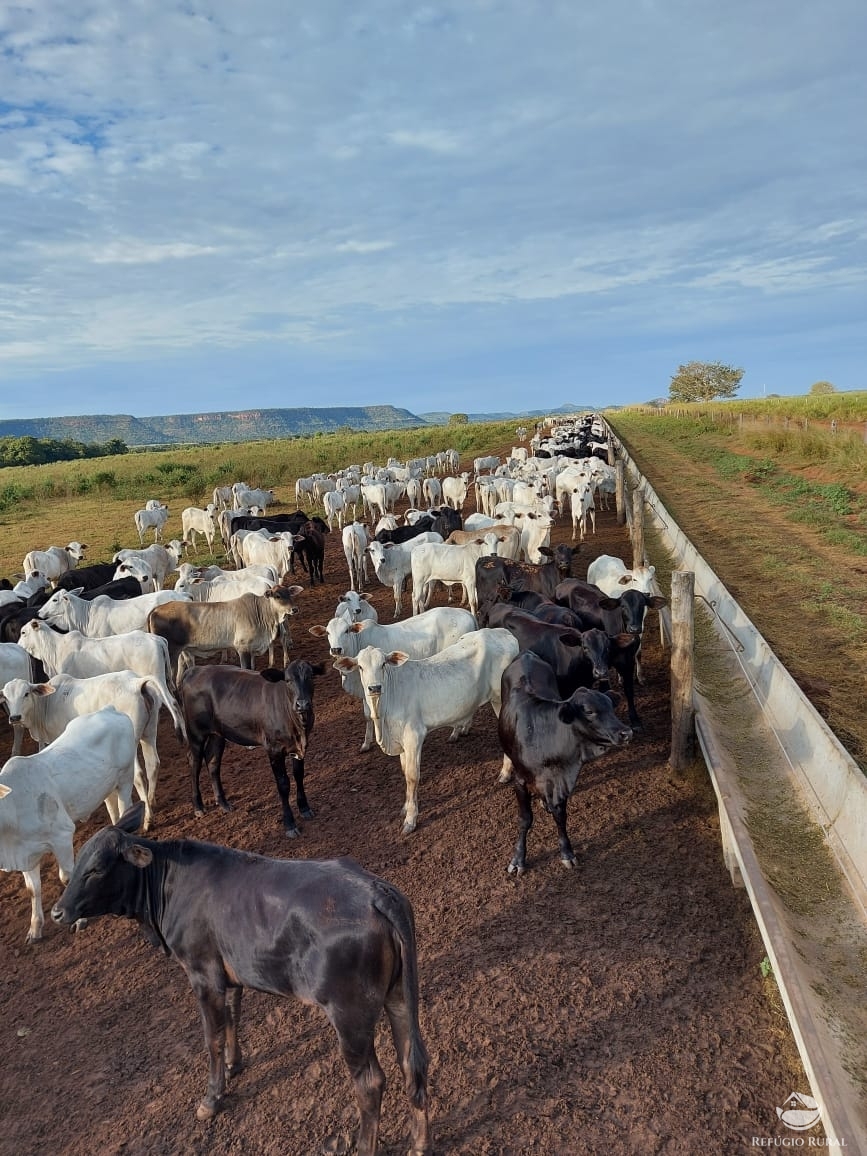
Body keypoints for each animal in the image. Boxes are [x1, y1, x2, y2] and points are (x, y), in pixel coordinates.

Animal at [0, 707, 137, 943]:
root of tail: (109, 709)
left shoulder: (62, 835)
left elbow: (68, 877)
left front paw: (79, 921)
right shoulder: (26, 854)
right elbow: (32, 889)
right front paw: (35, 929)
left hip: (125, 779)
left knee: (125, 805)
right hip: (107, 786)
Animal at [50, 804, 432, 1156]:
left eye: (97, 869)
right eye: (77, 864)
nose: (57, 911)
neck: (166, 889)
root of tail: (375, 890)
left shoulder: (202, 972)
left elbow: (212, 1037)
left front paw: (212, 1097)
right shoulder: (230, 972)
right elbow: (233, 1016)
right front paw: (234, 1066)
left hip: (349, 1012)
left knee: (370, 1082)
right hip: (398, 996)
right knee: (412, 1062)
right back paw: (420, 1145)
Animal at [179, 656, 325, 836]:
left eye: (311, 677)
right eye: (288, 680)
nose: (302, 704)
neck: (298, 727)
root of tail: (195, 669)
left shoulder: (299, 748)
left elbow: (299, 775)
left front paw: (304, 808)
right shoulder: (274, 749)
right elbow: (283, 784)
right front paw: (289, 824)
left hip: (218, 734)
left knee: (212, 762)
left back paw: (223, 803)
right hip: (195, 733)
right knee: (194, 762)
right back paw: (198, 806)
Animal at [335, 628, 520, 836]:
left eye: (383, 664)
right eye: (360, 667)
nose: (374, 687)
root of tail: (501, 632)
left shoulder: (414, 736)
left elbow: (412, 776)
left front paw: (410, 819)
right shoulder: (401, 742)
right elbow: (404, 771)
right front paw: (406, 807)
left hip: (500, 699)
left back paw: (505, 773)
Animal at [499, 656, 633, 869]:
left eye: (611, 707)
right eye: (589, 711)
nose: (626, 732)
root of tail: (527, 655)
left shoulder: (562, 780)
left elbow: (560, 816)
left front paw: (566, 852)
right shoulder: (520, 780)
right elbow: (525, 819)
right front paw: (518, 858)